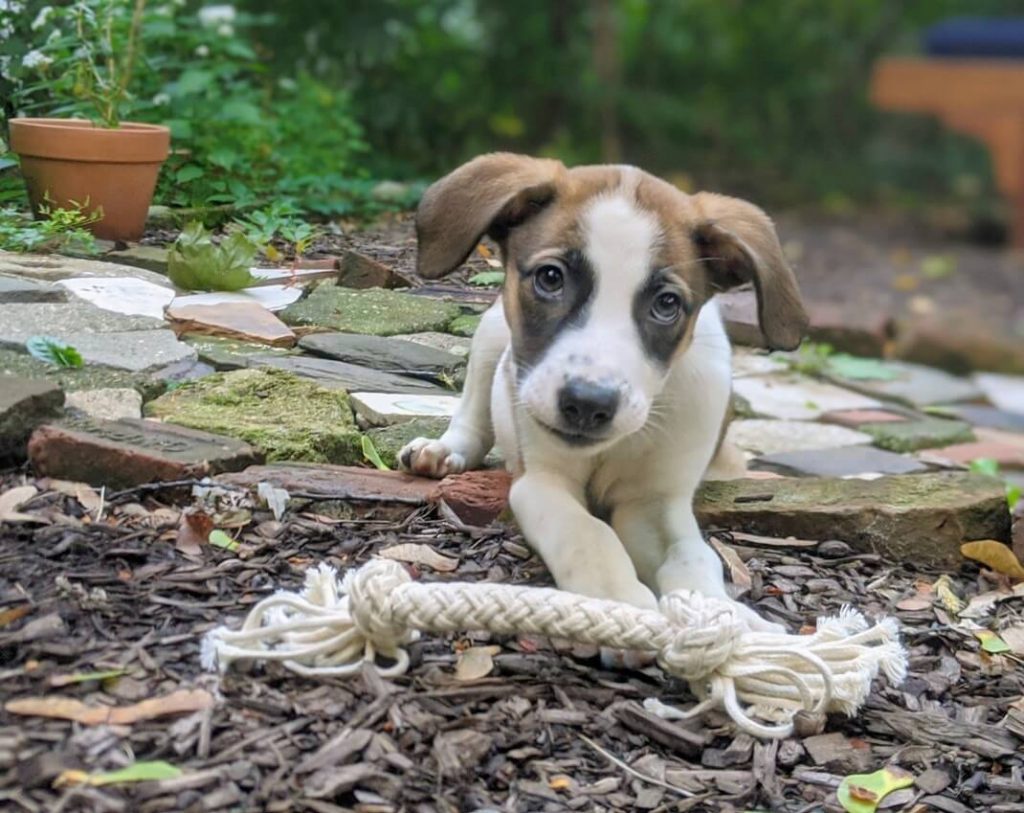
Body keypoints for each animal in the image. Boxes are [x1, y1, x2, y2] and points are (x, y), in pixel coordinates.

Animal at [399, 153, 806, 634]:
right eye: (550, 277)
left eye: (667, 304)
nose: (587, 405)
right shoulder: (541, 482)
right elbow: (587, 534)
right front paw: (620, 604)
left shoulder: (654, 501)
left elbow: (690, 556)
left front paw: (725, 614)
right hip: (493, 333)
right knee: (474, 411)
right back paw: (443, 451)